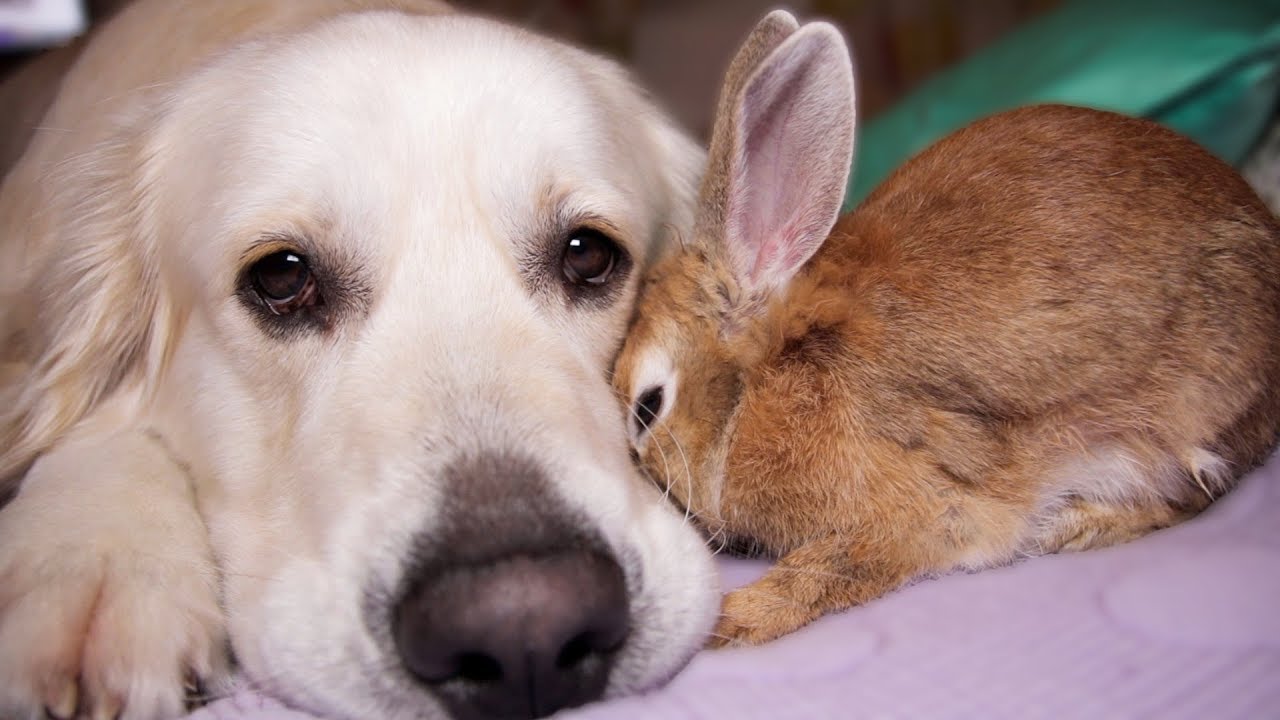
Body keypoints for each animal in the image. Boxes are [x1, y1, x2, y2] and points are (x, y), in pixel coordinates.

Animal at [612, 9, 1280, 647]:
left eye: (649, 407)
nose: (645, 478)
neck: (770, 373)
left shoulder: (926, 512)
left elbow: (828, 569)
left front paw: (731, 621)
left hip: (1180, 419)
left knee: (1190, 495)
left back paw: (1073, 525)